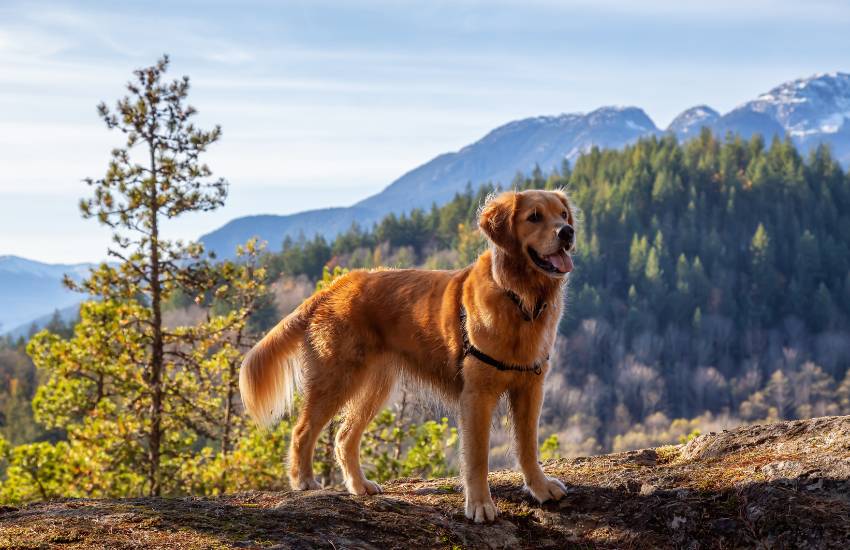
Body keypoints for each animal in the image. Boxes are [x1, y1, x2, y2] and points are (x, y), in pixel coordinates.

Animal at [238, 191, 576, 528]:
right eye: (534, 217)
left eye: (562, 214)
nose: (568, 233)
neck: (518, 297)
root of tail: (333, 287)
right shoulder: (477, 395)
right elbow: (478, 457)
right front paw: (480, 504)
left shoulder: (530, 388)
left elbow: (528, 446)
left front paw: (540, 487)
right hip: (336, 380)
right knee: (302, 431)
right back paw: (304, 480)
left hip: (374, 386)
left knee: (344, 437)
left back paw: (359, 485)